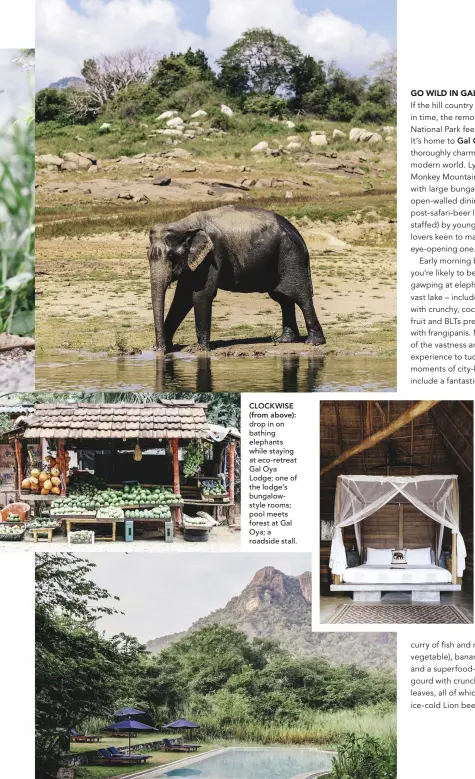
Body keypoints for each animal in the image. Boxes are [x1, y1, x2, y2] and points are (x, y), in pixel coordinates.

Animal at [149, 206, 328, 354]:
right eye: (148, 256)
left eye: (172, 256)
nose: (159, 350)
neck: (184, 224)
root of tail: (299, 234)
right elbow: (182, 298)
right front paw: (164, 348)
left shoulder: (212, 256)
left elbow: (201, 295)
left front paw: (199, 350)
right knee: (283, 299)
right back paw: (284, 340)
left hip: (291, 257)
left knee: (301, 296)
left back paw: (313, 343)